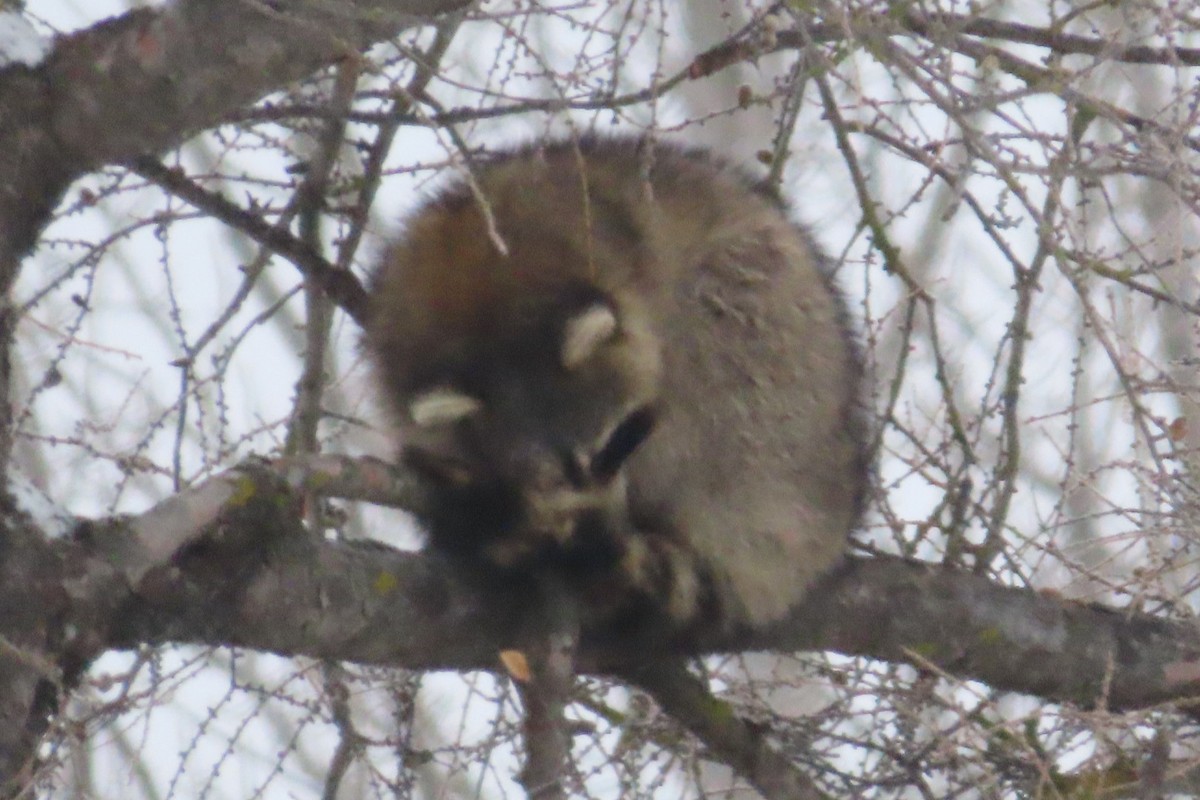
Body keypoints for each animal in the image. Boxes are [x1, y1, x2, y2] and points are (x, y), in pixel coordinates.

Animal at [365, 137, 867, 635]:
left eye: (614, 447)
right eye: (553, 475)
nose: (599, 515)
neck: (478, 300)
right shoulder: (395, 336)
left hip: (774, 386)